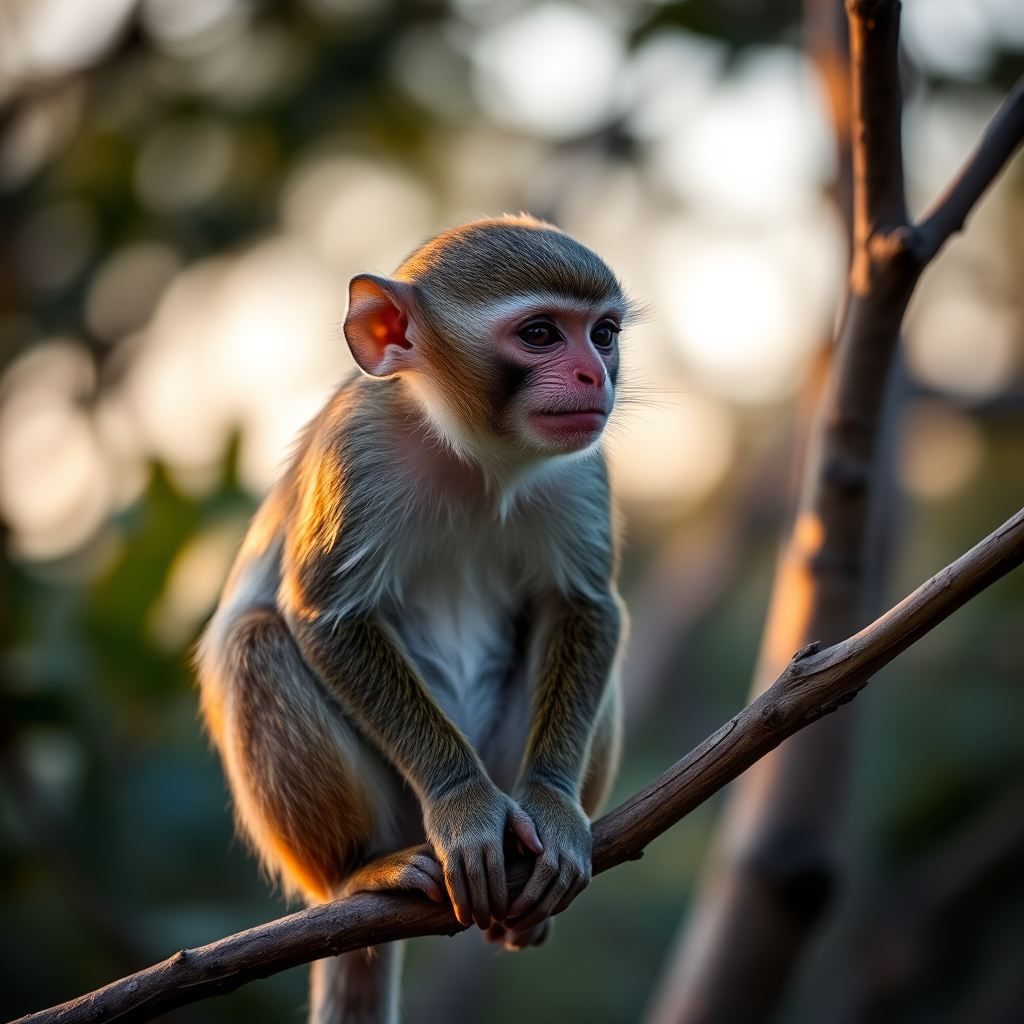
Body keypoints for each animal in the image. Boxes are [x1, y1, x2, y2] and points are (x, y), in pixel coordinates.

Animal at [196, 214, 632, 1024]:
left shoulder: (583, 467)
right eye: (540, 333)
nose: (598, 376)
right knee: (255, 641)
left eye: (604, 334)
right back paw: (362, 871)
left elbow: (584, 604)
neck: (474, 454)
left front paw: (555, 806)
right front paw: (462, 802)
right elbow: (326, 616)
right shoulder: (358, 450)